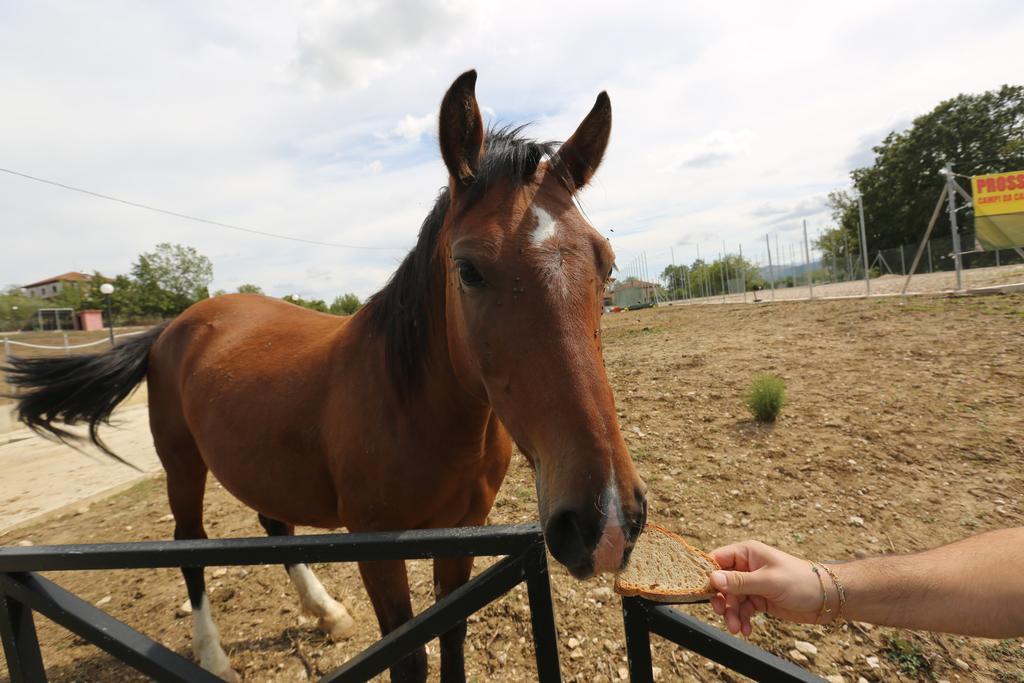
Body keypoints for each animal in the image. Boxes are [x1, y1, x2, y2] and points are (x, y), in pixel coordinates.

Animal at [6, 72, 647, 679]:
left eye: (606, 264)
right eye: (467, 269)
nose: (607, 520)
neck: (412, 405)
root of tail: (174, 326)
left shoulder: (464, 534)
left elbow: (452, 640)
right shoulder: (379, 553)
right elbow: (410, 659)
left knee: (274, 523)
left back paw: (325, 611)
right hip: (182, 468)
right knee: (190, 550)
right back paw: (214, 656)